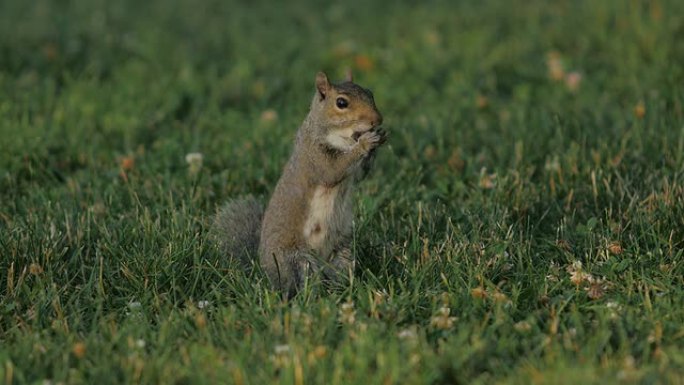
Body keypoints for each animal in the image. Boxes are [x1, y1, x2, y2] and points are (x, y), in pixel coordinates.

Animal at [214, 70, 384, 296]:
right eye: (341, 103)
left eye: (370, 93)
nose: (377, 120)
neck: (342, 138)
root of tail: (264, 268)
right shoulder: (314, 156)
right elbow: (333, 170)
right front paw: (364, 143)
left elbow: (360, 175)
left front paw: (377, 139)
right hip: (297, 260)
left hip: (342, 253)